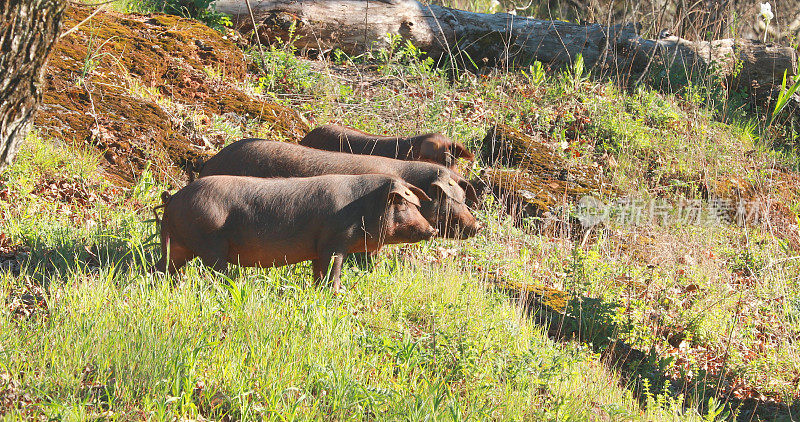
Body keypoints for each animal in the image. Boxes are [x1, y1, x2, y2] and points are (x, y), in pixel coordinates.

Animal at [152, 175, 434, 290]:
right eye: (404, 204)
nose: (432, 229)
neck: (365, 208)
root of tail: (173, 198)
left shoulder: (318, 250)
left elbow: (319, 273)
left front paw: (320, 291)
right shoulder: (335, 242)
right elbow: (334, 271)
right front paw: (337, 294)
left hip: (177, 244)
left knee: (162, 267)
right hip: (211, 243)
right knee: (217, 274)